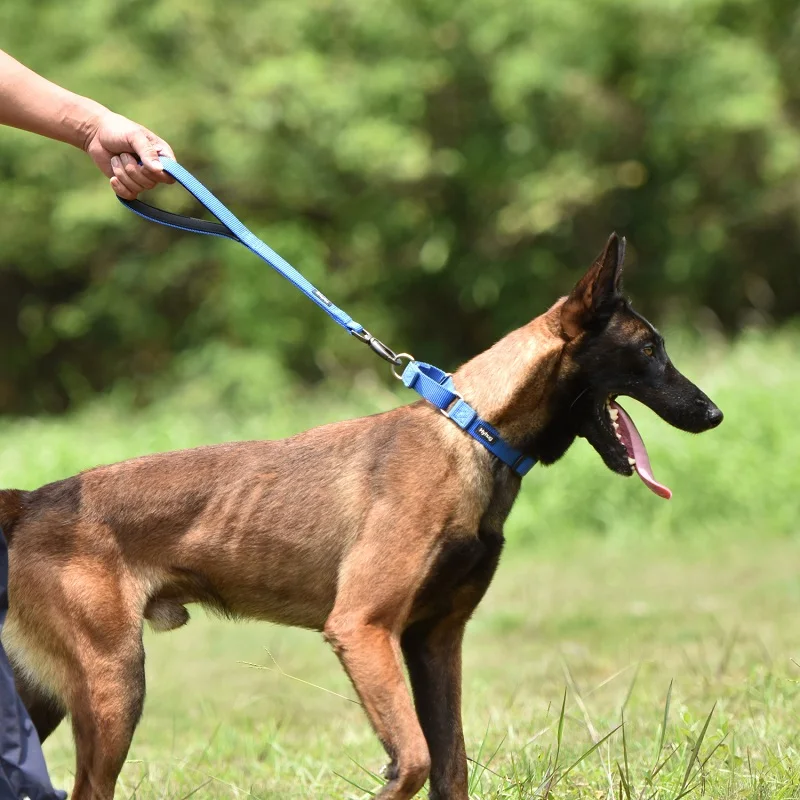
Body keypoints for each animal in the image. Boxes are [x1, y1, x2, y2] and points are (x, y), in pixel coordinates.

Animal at [0, 233, 720, 800]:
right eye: (650, 349)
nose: (713, 414)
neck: (474, 432)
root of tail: (33, 499)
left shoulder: (435, 640)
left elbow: (450, 767)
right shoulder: (362, 628)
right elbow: (415, 760)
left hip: (50, 694)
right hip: (114, 683)